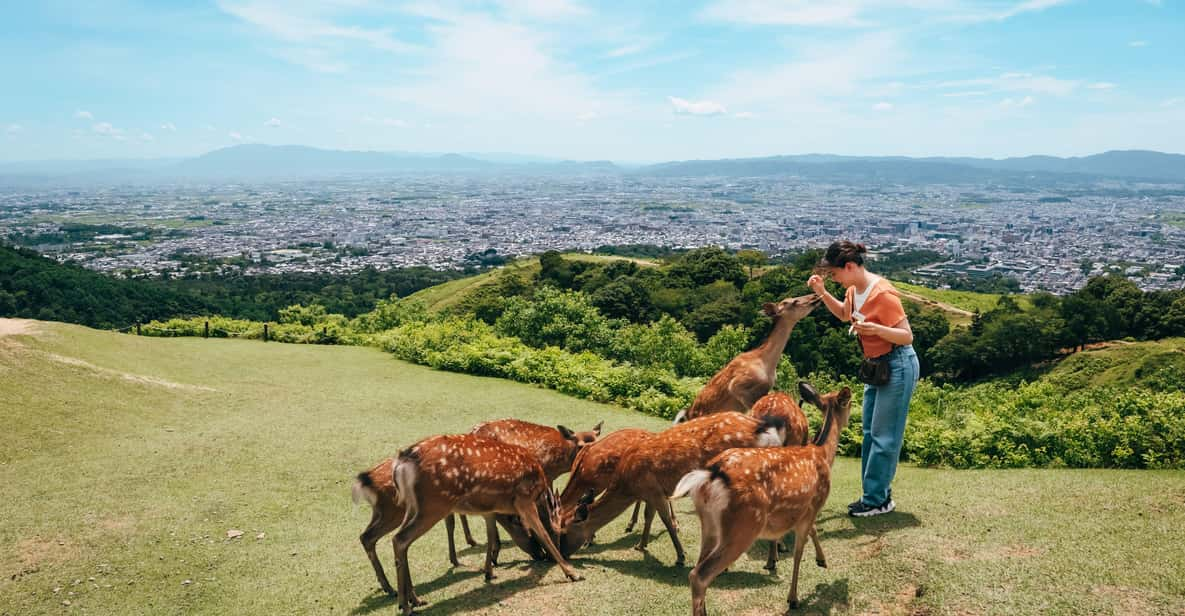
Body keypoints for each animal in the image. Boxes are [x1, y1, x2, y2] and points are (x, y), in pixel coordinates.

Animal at [383, 433, 583, 616]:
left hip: (412, 506)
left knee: (400, 541)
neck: (539, 489)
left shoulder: (489, 509)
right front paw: (572, 573)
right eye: (559, 531)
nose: (544, 557)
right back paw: (405, 605)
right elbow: (542, 533)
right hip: (435, 504)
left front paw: (489, 572)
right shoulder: (524, 499)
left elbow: (491, 535)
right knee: (400, 539)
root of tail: (402, 462)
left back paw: (414, 599)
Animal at [450, 421, 606, 566]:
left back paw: (472, 542)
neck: (562, 458)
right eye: (580, 446)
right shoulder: (546, 473)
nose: (594, 453)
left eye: (598, 440)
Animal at [554, 412, 786, 566]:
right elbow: (649, 516)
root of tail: (769, 433)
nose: (559, 555)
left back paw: (770, 562)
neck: (628, 483)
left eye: (564, 530)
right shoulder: (652, 491)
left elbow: (665, 520)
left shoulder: (654, 490)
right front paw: (641, 545)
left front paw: (680, 557)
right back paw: (771, 559)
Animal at [668, 381, 853, 611]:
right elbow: (800, 551)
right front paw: (794, 598)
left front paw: (819, 561)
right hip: (744, 525)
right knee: (699, 575)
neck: (823, 453)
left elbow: (809, 534)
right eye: (850, 403)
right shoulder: (813, 506)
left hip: (709, 523)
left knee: (699, 565)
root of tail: (712, 474)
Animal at [673, 293, 820, 424]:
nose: (815, 296)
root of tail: (688, 414)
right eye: (794, 301)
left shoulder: (764, 391)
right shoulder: (738, 386)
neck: (767, 364)